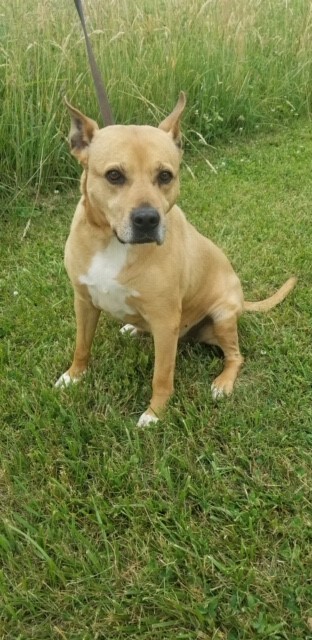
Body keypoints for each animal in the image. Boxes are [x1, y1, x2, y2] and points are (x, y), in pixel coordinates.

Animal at [56, 91, 298, 424]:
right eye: (114, 175)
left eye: (165, 175)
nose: (147, 219)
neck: (113, 243)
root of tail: (241, 302)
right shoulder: (83, 301)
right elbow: (82, 345)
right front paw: (74, 376)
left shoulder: (165, 321)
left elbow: (162, 375)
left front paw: (155, 413)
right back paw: (132, 327)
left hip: (222, 316)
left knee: (236, 356)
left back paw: (223, 383)